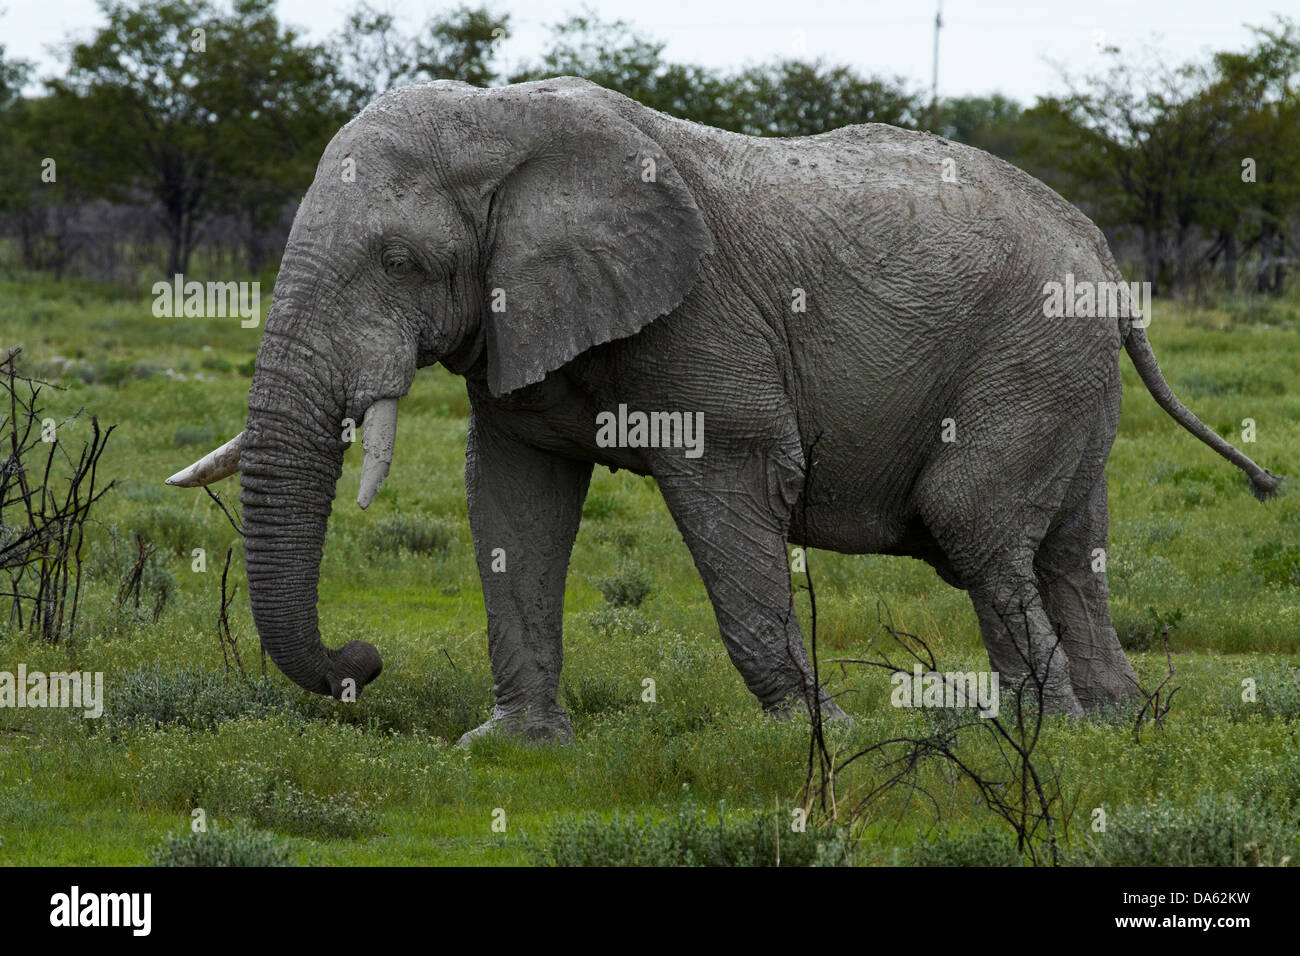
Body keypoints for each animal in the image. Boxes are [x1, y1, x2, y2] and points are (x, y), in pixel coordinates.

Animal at [162, 78, 1279, 743]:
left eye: (399, 261)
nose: (361, 662)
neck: (505, 117)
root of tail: (1103, 257)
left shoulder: (706, 323)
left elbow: (733, 491)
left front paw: (815, 736)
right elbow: (514, 498)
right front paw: (512, 745)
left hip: (1030, 355)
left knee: (975, 525)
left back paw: (1050, 734)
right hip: (1066, 375)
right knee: (1068, 547)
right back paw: (1117, 722)